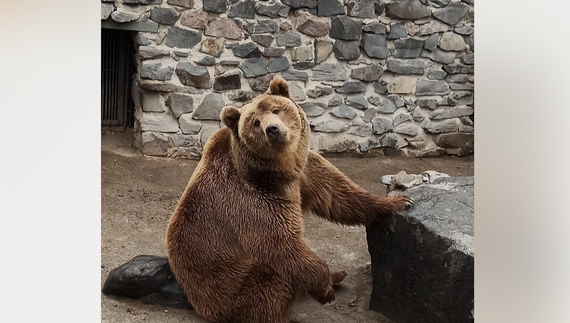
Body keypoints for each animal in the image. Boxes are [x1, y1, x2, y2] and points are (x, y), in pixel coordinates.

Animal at [165, 77, 412, 322]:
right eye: (255, 122)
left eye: (276, 110)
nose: (272, 129)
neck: (278, 169)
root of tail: (197, 302)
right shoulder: (252, 199)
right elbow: (280, 243)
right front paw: (324, 288)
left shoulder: (303, 173)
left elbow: (338, 195)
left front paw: (398, 201)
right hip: (226, 280)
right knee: (268, 288)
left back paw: (337, 275)